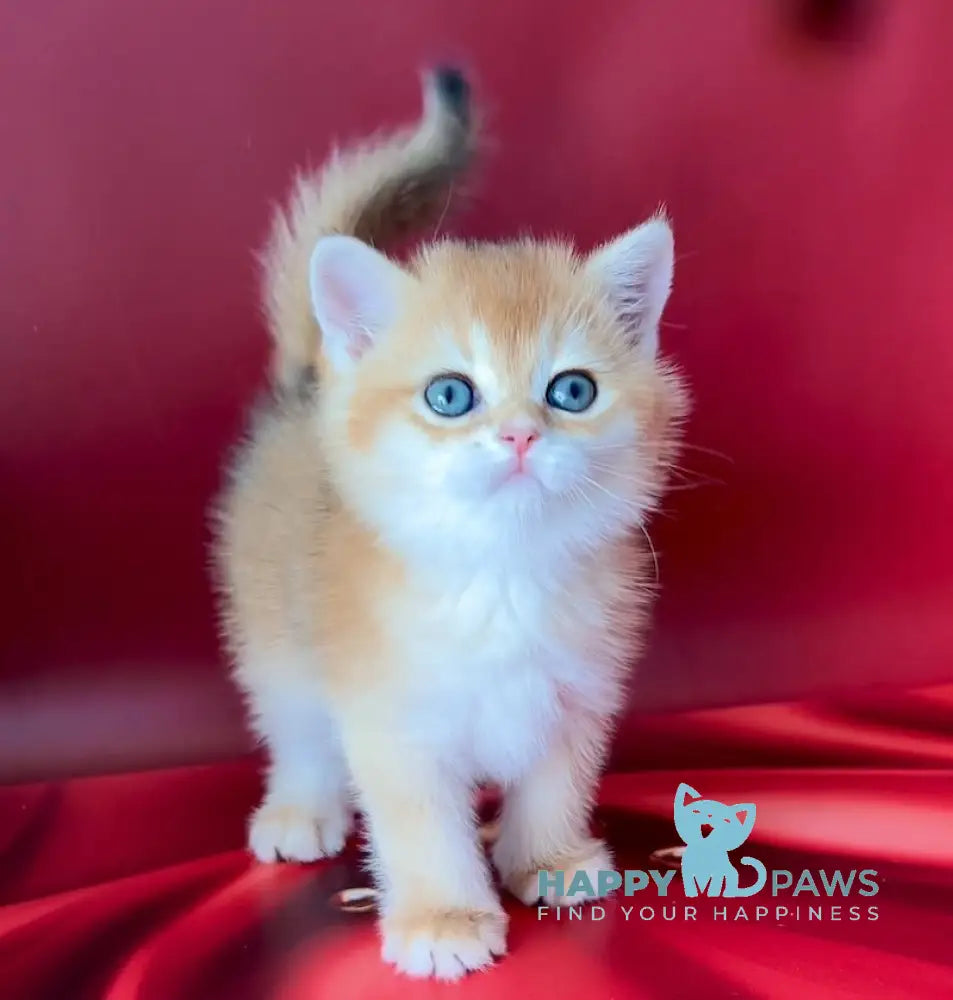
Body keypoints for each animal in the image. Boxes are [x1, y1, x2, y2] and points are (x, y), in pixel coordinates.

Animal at [215, 68, 688, 976]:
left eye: (571, 390)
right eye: (450, 394)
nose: (519, 435)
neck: (500, 575)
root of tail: (307, 384)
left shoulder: (575, 696)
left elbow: (554, 783)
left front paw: (546, 859)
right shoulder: (392, 721)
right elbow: (421, 828)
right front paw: (443, 918)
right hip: (276, 641)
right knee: (295, 731)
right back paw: (301, 810)